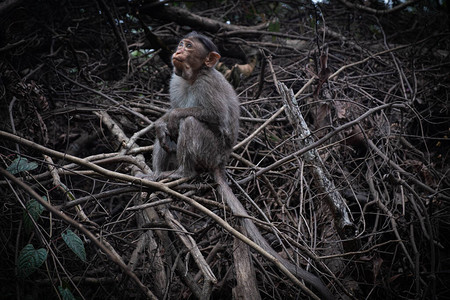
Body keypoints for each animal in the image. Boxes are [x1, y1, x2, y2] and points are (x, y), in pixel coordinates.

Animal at [149, 31, 332, 298]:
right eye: (182, 44)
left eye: (189, 46)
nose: (178, 51)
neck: (193, 77)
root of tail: (222, 162)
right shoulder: (176, 80)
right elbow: (168, 121)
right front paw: (162, 123)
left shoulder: (208, 85)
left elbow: (213, 115)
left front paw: (171, 117)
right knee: (167, 139)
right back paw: (155, 173)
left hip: (210, 152)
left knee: (190, 122)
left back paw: (183, 172)